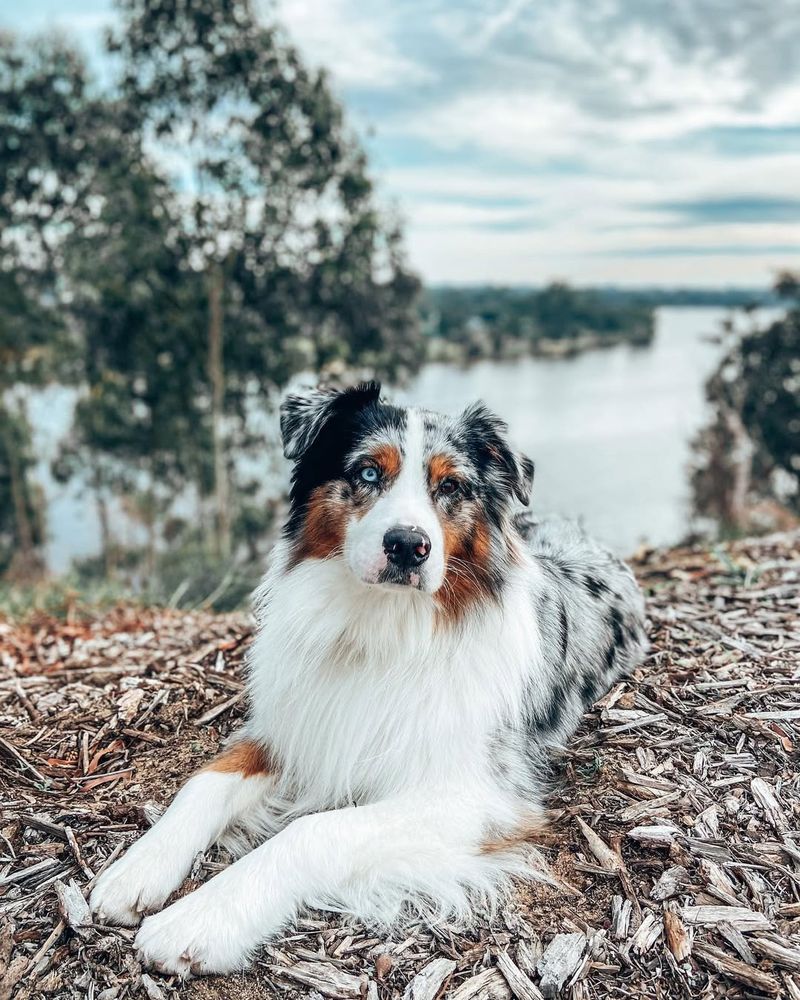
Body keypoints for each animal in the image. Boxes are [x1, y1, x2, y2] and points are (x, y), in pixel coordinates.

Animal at [89, 382, 648, 976]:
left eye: (451, 486)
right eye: (368, 473)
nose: (407, 545)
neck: (380, 626)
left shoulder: (475, 797)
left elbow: (313, 830)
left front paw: (202, 917)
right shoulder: (289, 730)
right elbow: (203, 784)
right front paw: (136, 869)